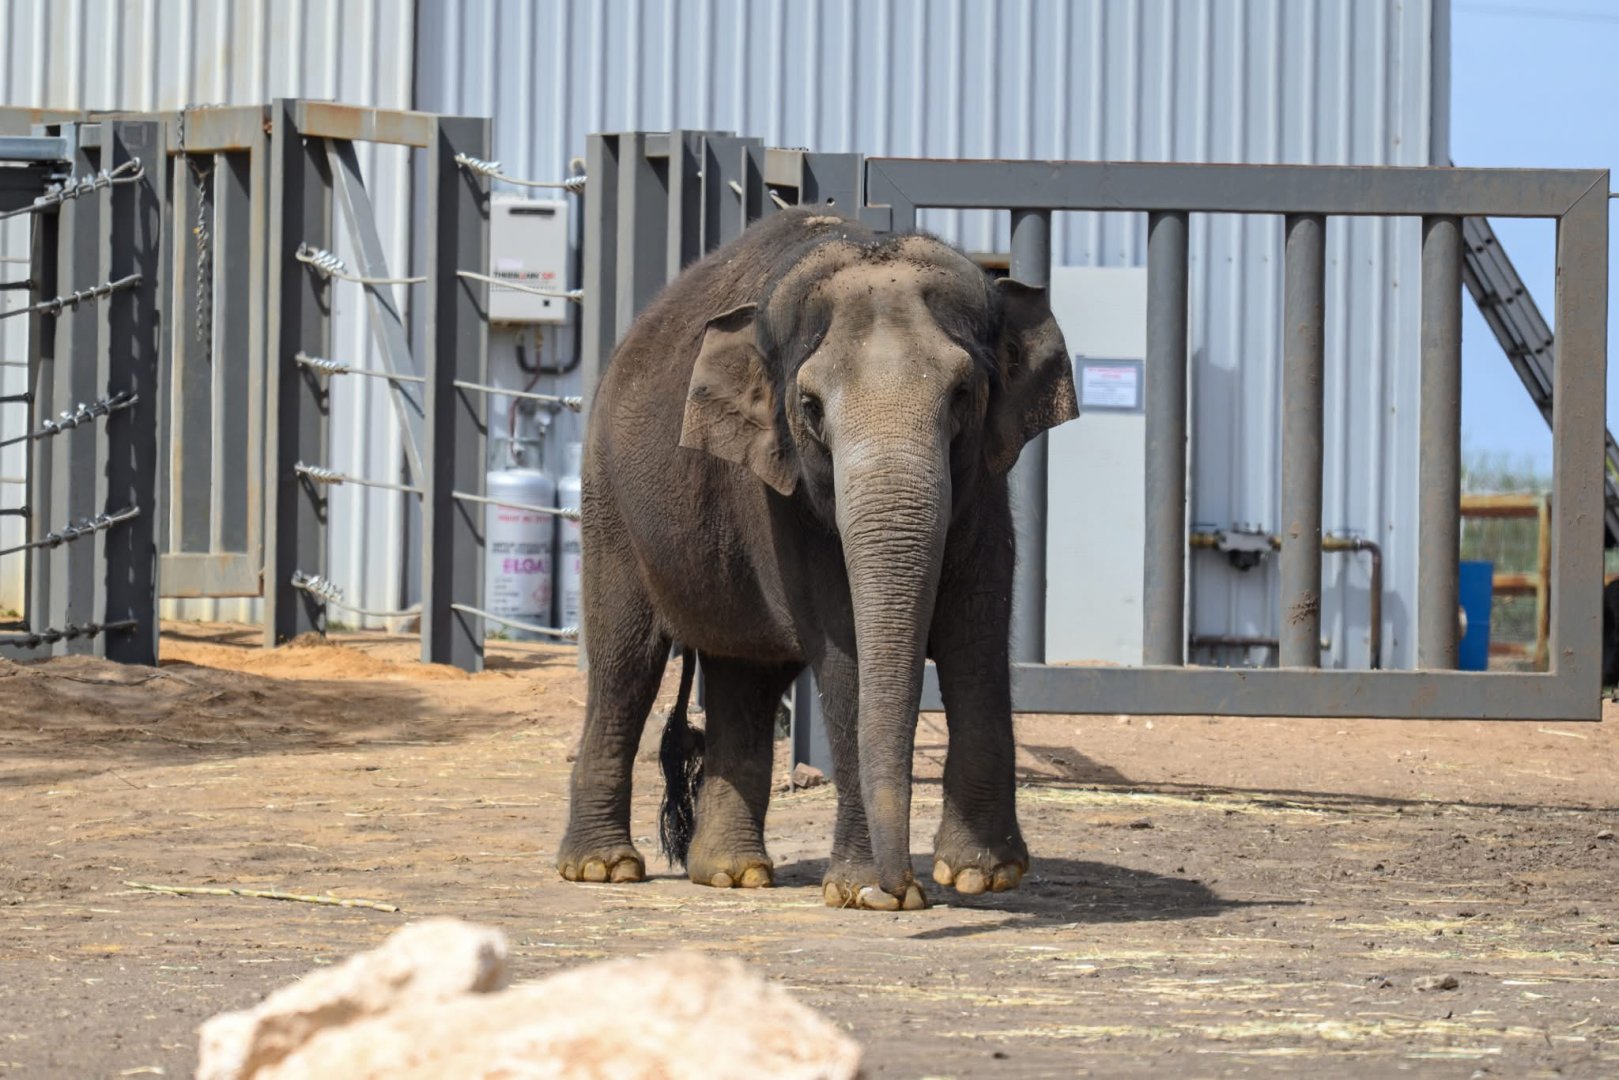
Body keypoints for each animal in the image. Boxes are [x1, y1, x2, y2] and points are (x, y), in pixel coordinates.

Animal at [556, 207, 1078, 911]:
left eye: (964, 394)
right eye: (809, 406)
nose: (904, 886)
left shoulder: (986, 491)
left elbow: (977, 634)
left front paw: (980, 875)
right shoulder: (781, 498)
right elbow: (845, 649)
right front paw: (865, 892)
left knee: (744, 677)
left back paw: (731, 873)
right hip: (608, 503)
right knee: (624, 664)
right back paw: (603, 869)